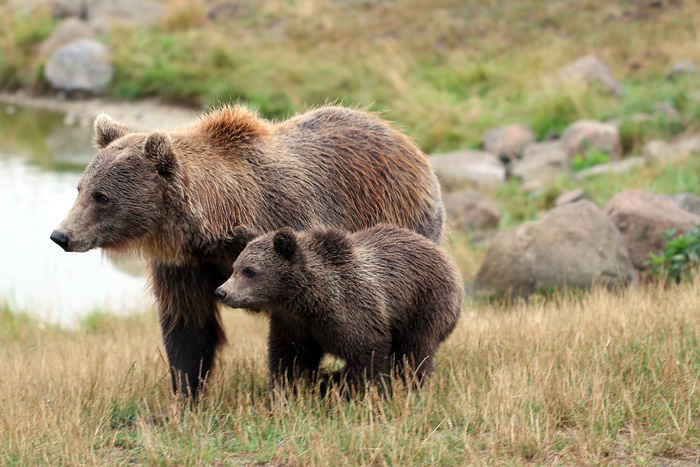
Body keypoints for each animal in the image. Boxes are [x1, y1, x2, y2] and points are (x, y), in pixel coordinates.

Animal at [213, 225, 464, 394]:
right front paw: (286, 393)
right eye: (235, 268)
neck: (307, 301)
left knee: (413, 353)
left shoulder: (352, 312)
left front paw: (350, 392)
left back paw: (410, 387)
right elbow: (289, 359)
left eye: (250, 271)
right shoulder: (294, 325)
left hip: (425, 304)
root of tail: (444, 255)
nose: (221, 292)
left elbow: (367, 355)